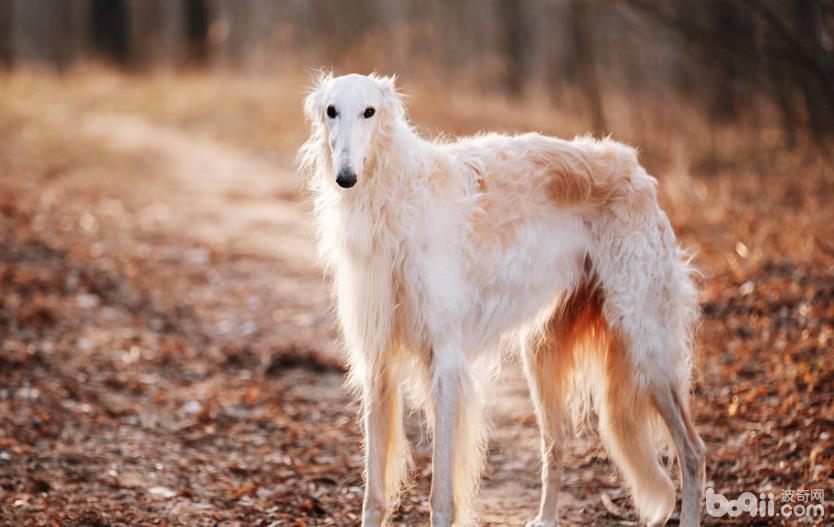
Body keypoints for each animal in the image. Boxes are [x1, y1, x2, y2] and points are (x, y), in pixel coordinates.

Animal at [298, 74, 704, 527]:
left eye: (369, 111)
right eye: (331, 111)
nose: (346, 177)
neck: (394, 201)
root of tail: (637, 170)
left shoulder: (445, 360)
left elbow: (442, 496)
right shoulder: (378, 363)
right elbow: (375, 494)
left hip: (646, 348)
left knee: (692, 450)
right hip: (543, 353)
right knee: (556, 445)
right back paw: (545, 518)